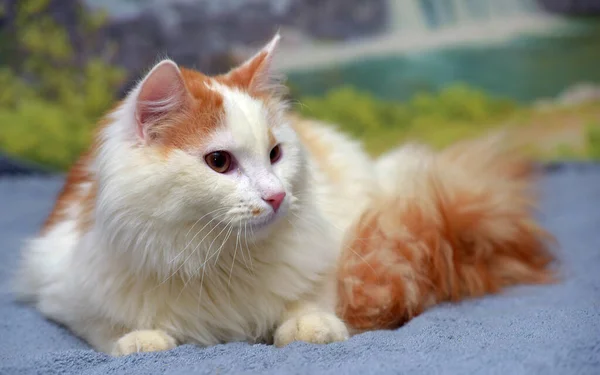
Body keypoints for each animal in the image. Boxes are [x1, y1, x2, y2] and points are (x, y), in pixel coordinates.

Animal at [14, 34, 376, 356]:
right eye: (219, 162)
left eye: (275, 154)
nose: (276, 196)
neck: (221, 260)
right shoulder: (61, 285)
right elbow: (105, 324)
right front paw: (141, 338)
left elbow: (310, 296)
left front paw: (310, 323)